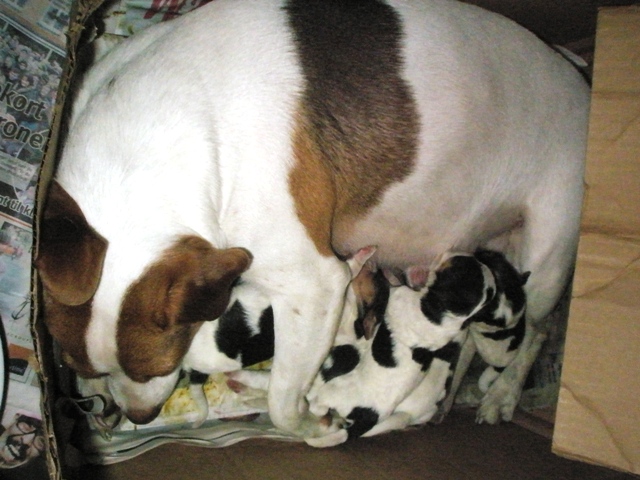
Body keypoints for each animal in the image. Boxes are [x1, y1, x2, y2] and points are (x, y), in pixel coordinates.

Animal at [36, 0, 592, 442]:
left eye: (165, 363)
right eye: (73, 362)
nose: (141, 417)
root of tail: (578, 76)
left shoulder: (315, 285)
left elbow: (284, 406)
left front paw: (313, 424)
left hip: (545, 262)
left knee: (536, 332)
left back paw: (502, 394)